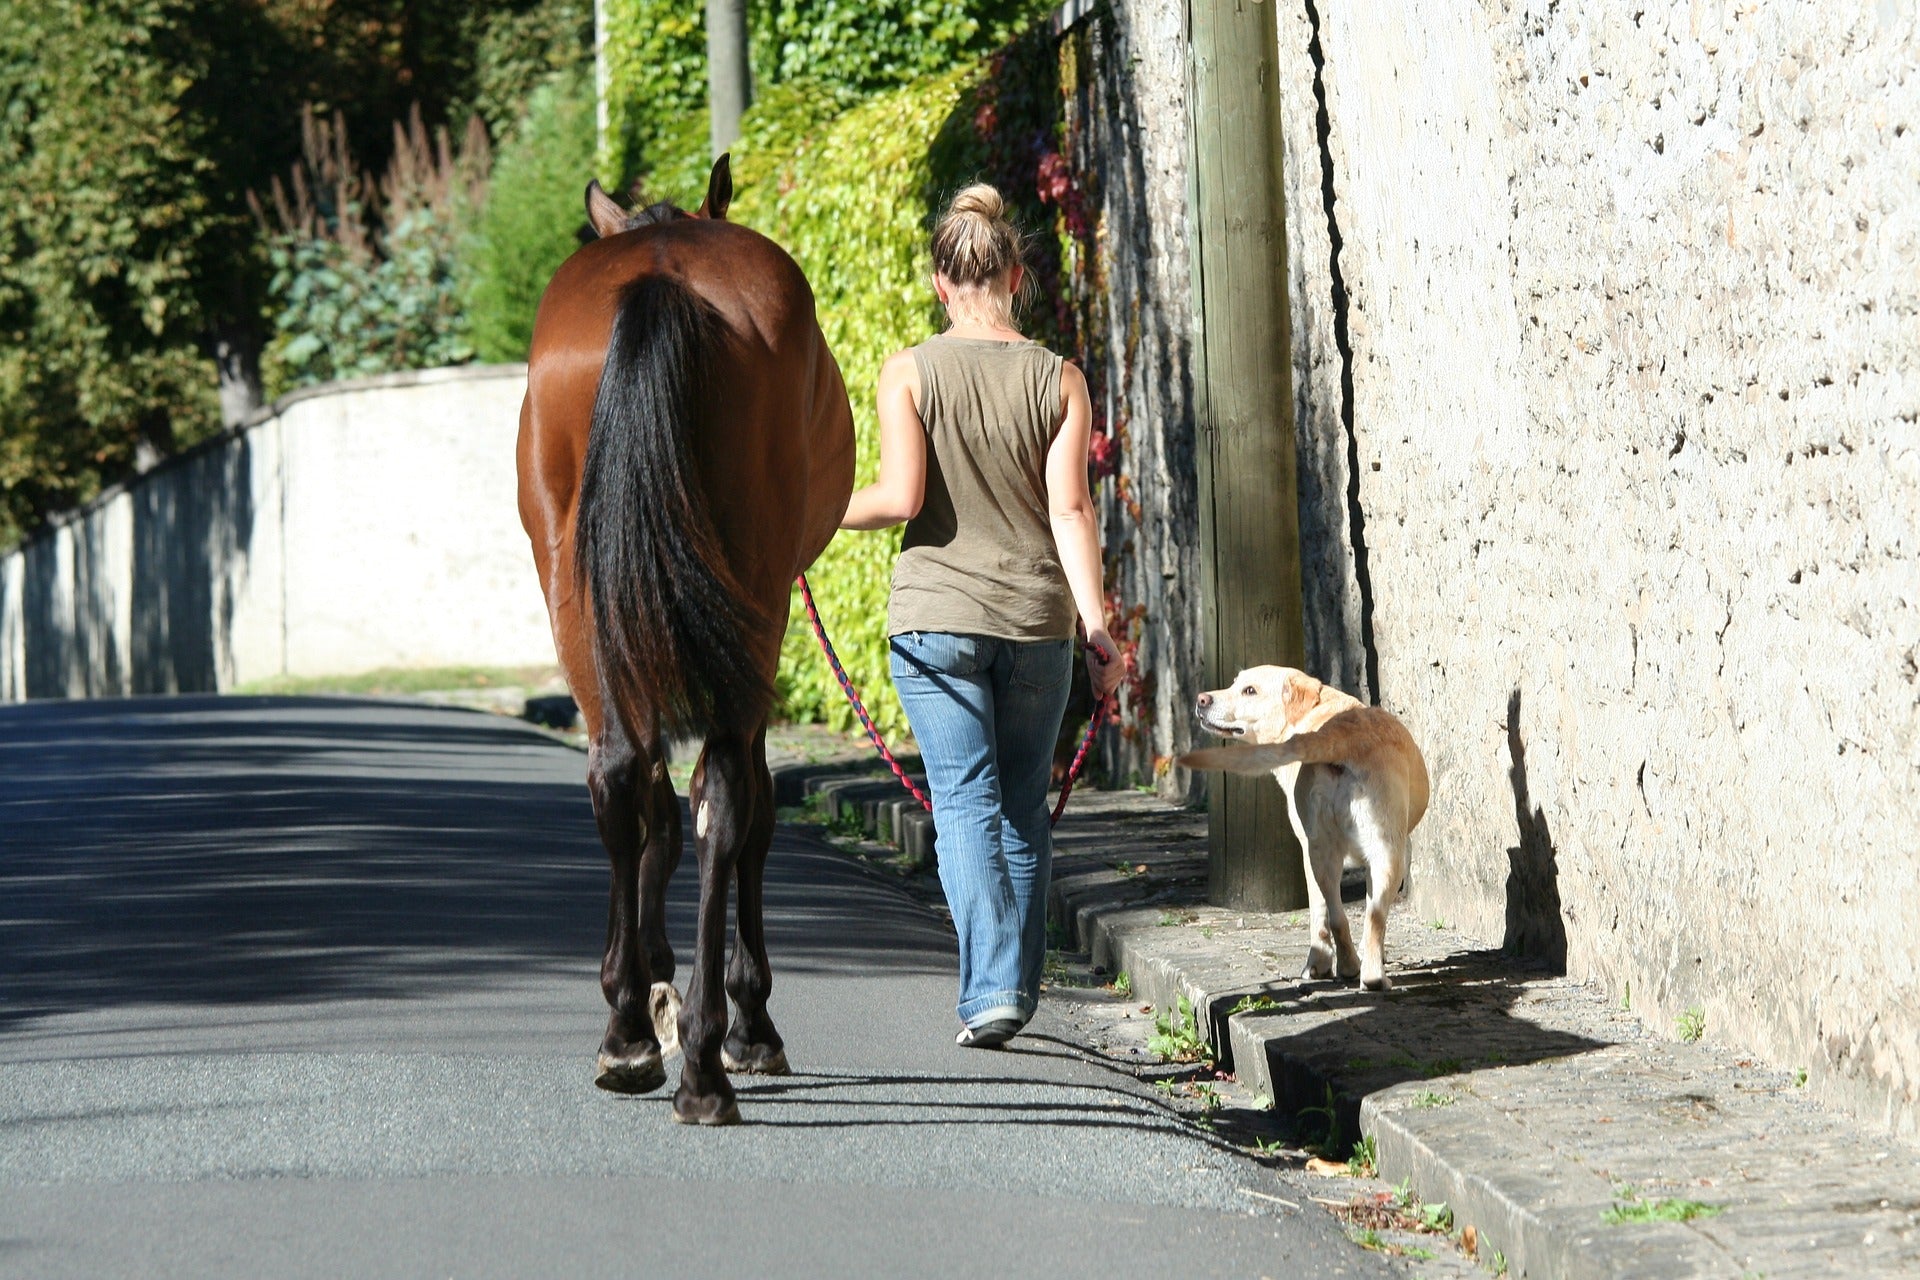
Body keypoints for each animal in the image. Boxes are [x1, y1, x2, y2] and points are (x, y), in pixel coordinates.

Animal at [522, 157, 860, 1120]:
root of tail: (660, 277)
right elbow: (751, 811)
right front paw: (746, 1014)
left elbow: (656, 809)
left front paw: (645, 981)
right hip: (752, 599)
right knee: (727, 794)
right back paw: (708, 1054)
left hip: (579, 588)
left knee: (619, 776)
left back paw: (633, 1038)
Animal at [1175, 671, 1436, 990]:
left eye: (1249, 690)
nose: (1201, 699)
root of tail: (1341, 735)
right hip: (1377, 853)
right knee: (1368, 919)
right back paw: (1362, 972)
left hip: (1329, 854)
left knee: (1341, 917)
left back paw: (1350, 967)